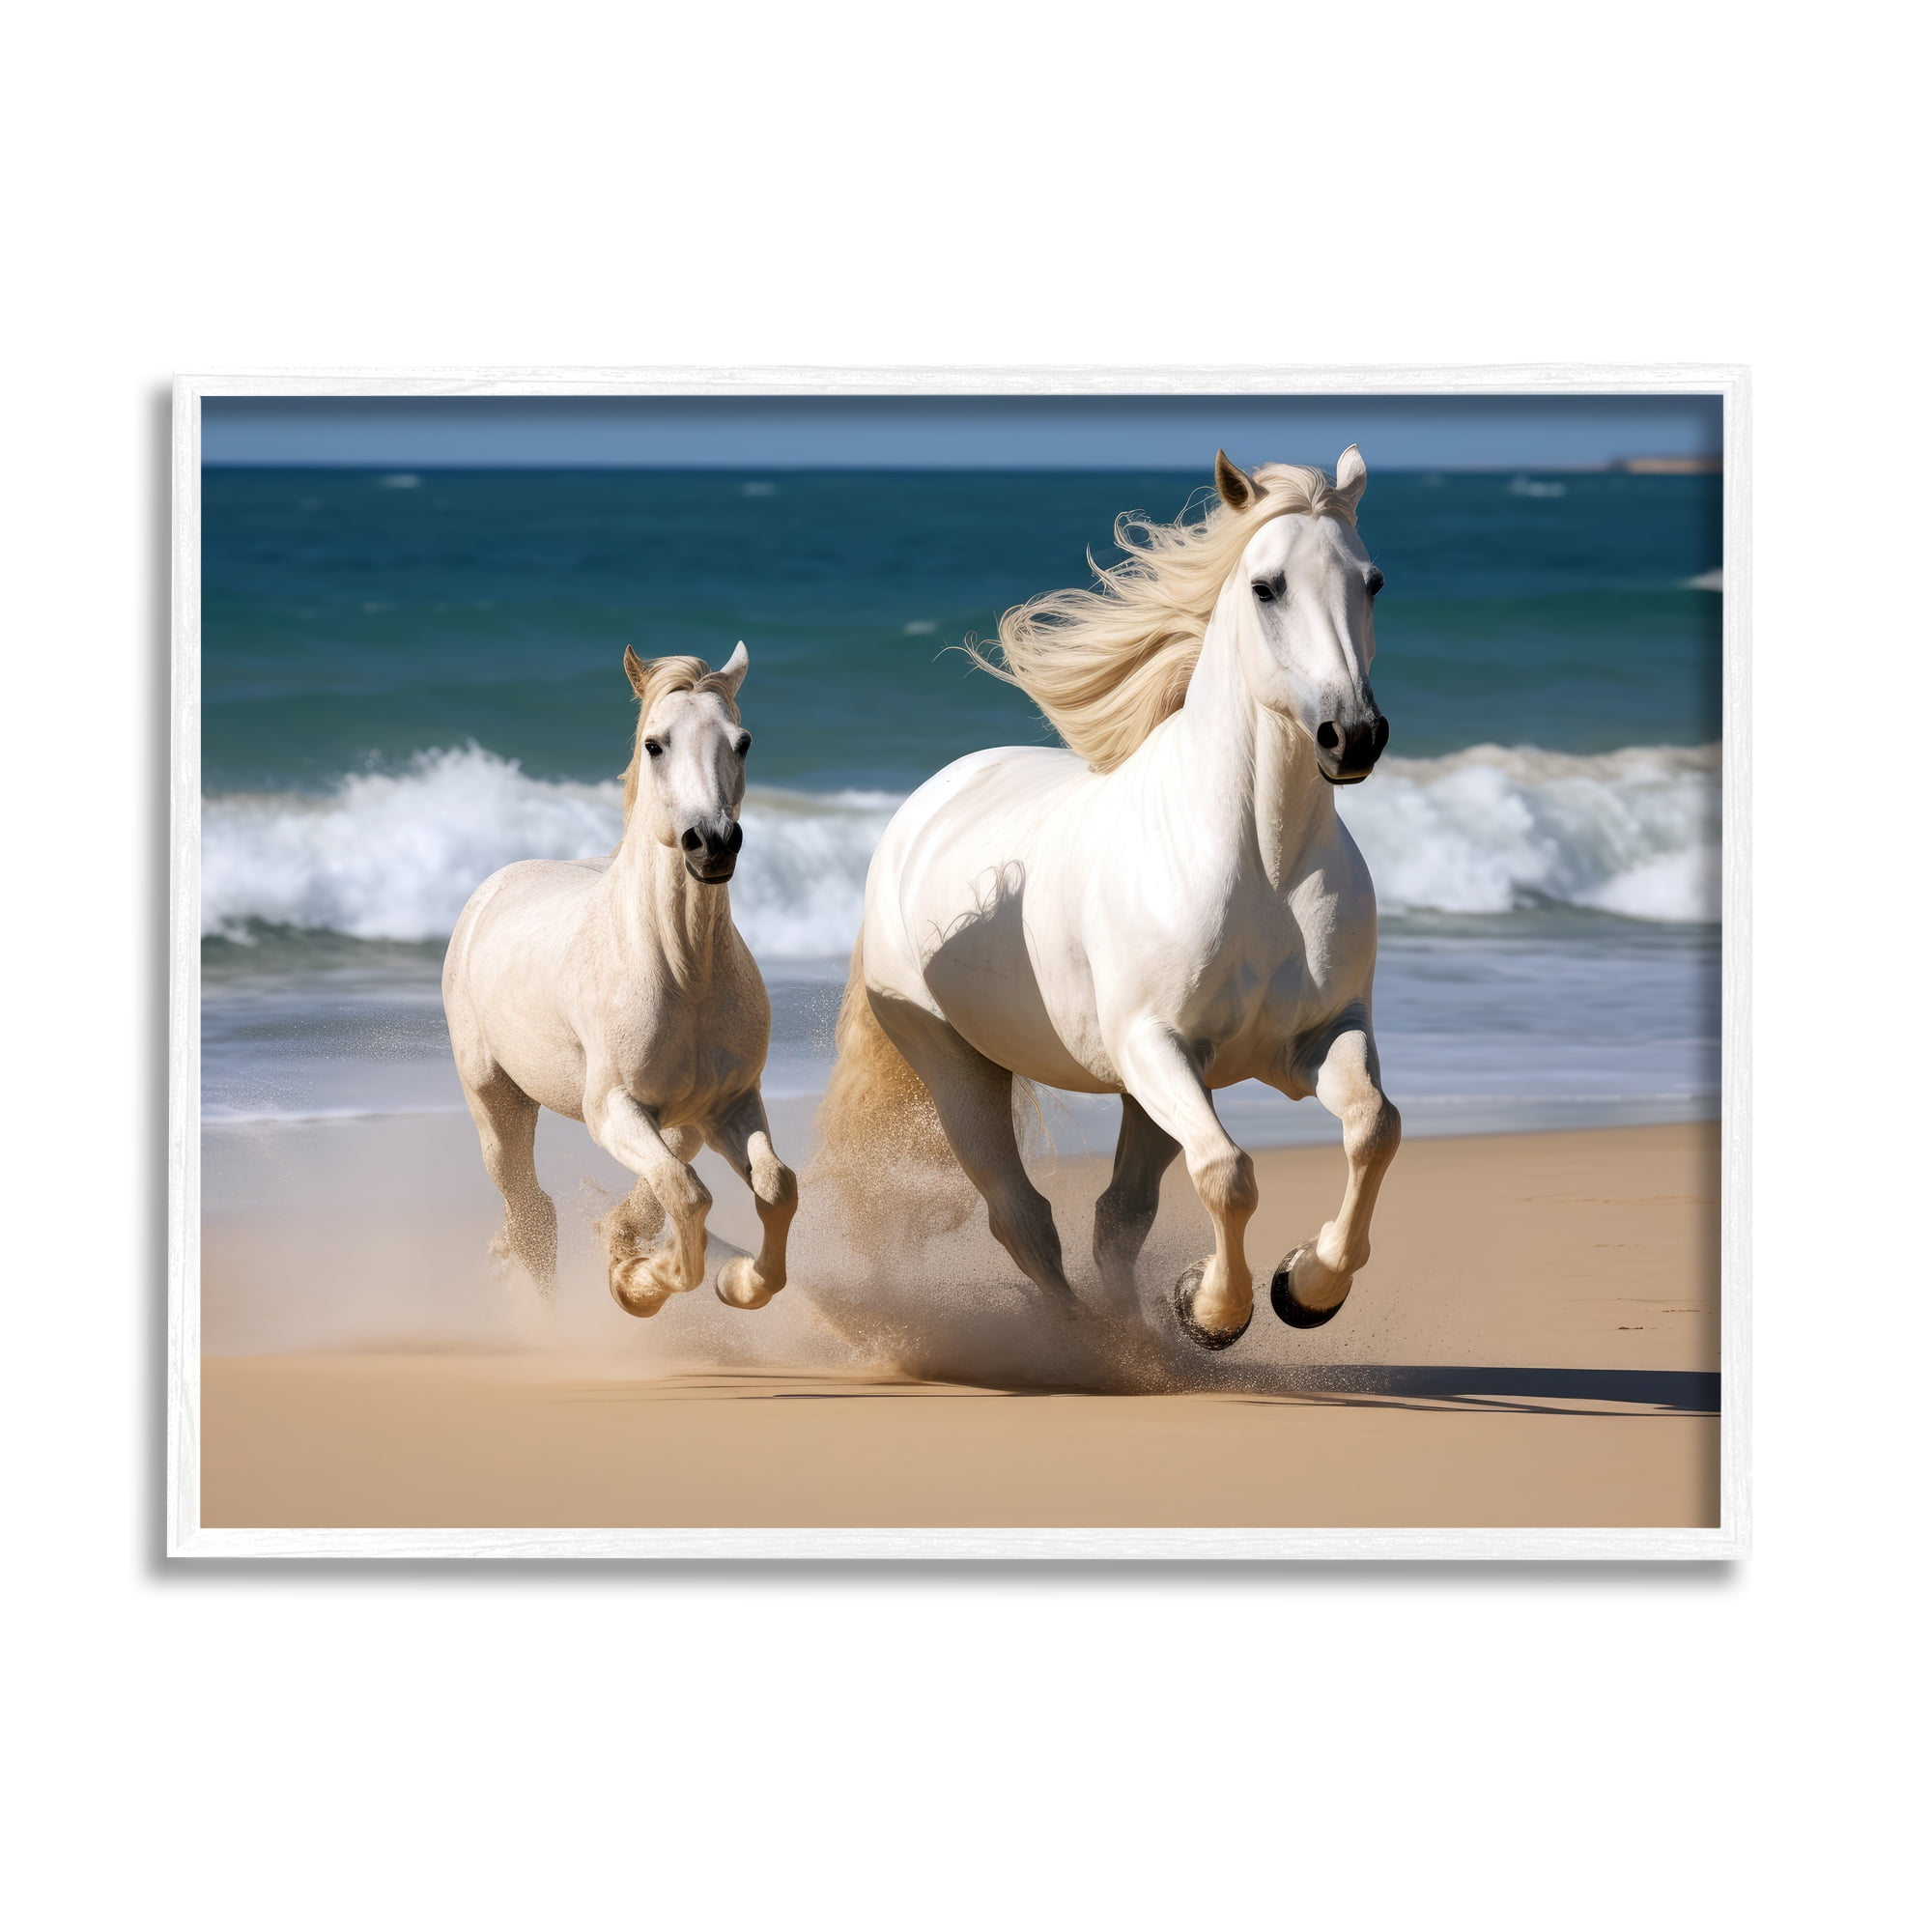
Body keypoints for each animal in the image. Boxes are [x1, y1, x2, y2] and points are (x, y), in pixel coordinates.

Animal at [442, 643, 798, 1319]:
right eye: (655, 744)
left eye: (742, 742)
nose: (712, 844)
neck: (683, 972)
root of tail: (491, 888)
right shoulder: (612, 1110)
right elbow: (687, 1196)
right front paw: (637, 1283)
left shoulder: (731, 1103)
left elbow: (775, 1186)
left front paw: (736, 1282)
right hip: (497, 1103)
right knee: (531, 1217)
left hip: (680, 1121)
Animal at [818, 449, 1400, 1350]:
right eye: (1266, 586)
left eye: (1371, 582)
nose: (1354, 736)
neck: (1262, 869)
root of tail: (925, 804)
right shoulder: (1155, 1047)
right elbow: (1228, 1173)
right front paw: (1213, 1312)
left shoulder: (1316, 1039)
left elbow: (1373, 1128)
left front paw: (1303, 1288)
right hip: (957, 1065)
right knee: (1022, 1218)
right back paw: (1094, 1348)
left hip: (1142, 1096)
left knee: (1115, 1217)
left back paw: (1138, 1339)